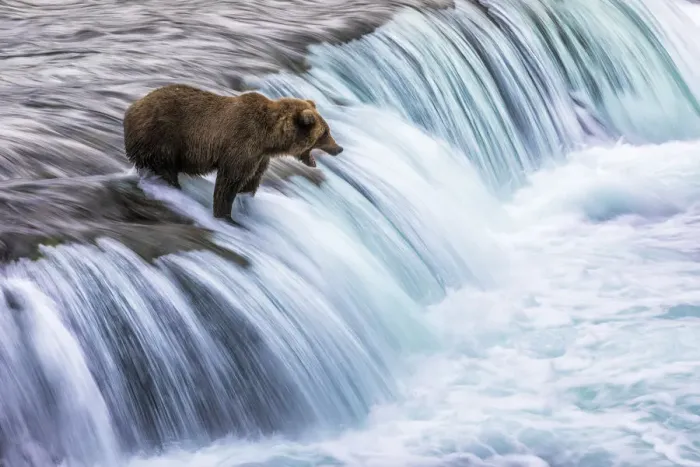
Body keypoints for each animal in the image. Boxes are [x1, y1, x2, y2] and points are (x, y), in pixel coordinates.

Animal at [123, 84, 343, 222]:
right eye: (325, 133)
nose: (339, 148)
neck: (269, 138)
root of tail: (131, 108)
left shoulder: (259, 157)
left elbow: (251, 181)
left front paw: (246, 203)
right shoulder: (241, 145)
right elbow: (229, 182)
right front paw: (225, 215)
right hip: (161, 139)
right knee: (166, 170)